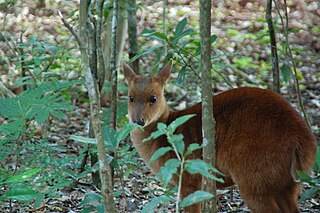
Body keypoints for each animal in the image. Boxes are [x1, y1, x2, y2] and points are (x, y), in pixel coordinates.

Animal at [122, 58, 318, 213]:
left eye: (153, 98)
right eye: (131, 98)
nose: (138, 121)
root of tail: (305, 142)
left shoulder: (189, 179)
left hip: (253, 177)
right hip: (286, 183)